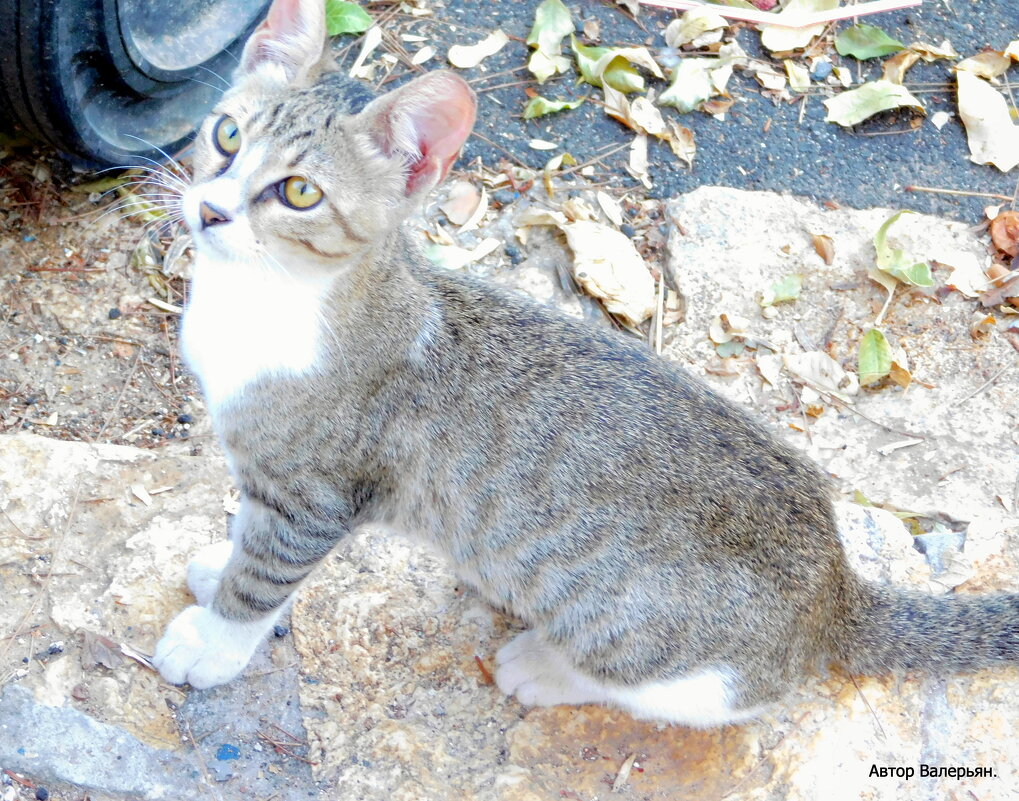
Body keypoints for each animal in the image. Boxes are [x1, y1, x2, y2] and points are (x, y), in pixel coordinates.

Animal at [150, 0, 1019, 725]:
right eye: (227, 137)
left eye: (298, 191)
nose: (210, 210)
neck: (261, 302)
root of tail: (835, 585)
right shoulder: (267, 476)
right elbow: (243, 533)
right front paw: (217, 565)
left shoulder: (317, 496)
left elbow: (263, 575)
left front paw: (213, 638)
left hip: (641, 640)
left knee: (685, 689)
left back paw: (543, 666)